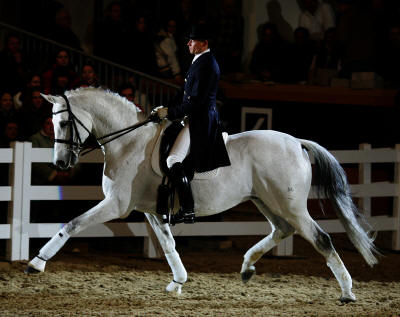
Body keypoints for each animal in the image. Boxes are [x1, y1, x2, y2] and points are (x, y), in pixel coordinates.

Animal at [26, 86, 376, 302]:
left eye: (62, 123)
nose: (60, 163)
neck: (129, 141)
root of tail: (297, 142)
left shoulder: (116, 205)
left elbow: (73, 224)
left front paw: (36, 263)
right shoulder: (151, 209)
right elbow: (168, 245)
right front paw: (178, 282)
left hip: (291, 206)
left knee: (322, 239)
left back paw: (347, 293)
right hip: (266, 201)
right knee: (282, 230)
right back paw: (247, 266)